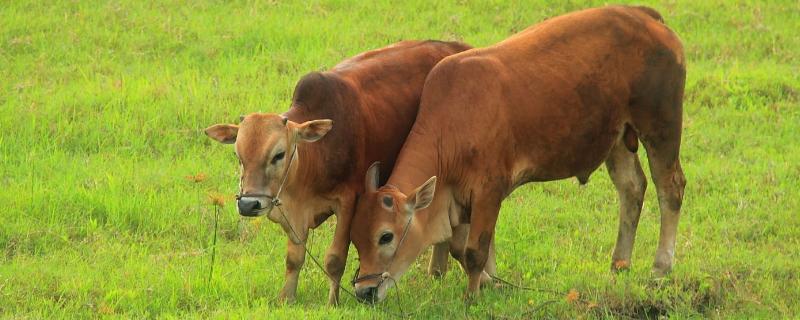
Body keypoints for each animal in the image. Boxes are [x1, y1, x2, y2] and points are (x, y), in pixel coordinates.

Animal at [203, 40, 472, 304]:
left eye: (278, 154)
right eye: (238, 156)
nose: (248, 204)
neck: (315, 156)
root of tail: (459, 47)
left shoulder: (347, 202)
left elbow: (335, 259)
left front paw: (333, 302)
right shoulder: (291, 212)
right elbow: (294, 258)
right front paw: (286, 298)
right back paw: (436, 272)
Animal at [346, 6, 684, 304]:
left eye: (386, 236)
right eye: (355, 238)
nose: (364, 292)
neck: (452, 123)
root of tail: (645, 16)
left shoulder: (489, 190)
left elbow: (474, 251)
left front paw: (472, 295)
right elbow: (458, 247)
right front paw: (490, 282)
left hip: (661, 126)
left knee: (671, 189)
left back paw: (660, 268)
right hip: (617, 138)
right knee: (632, 188)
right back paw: (619, 264)